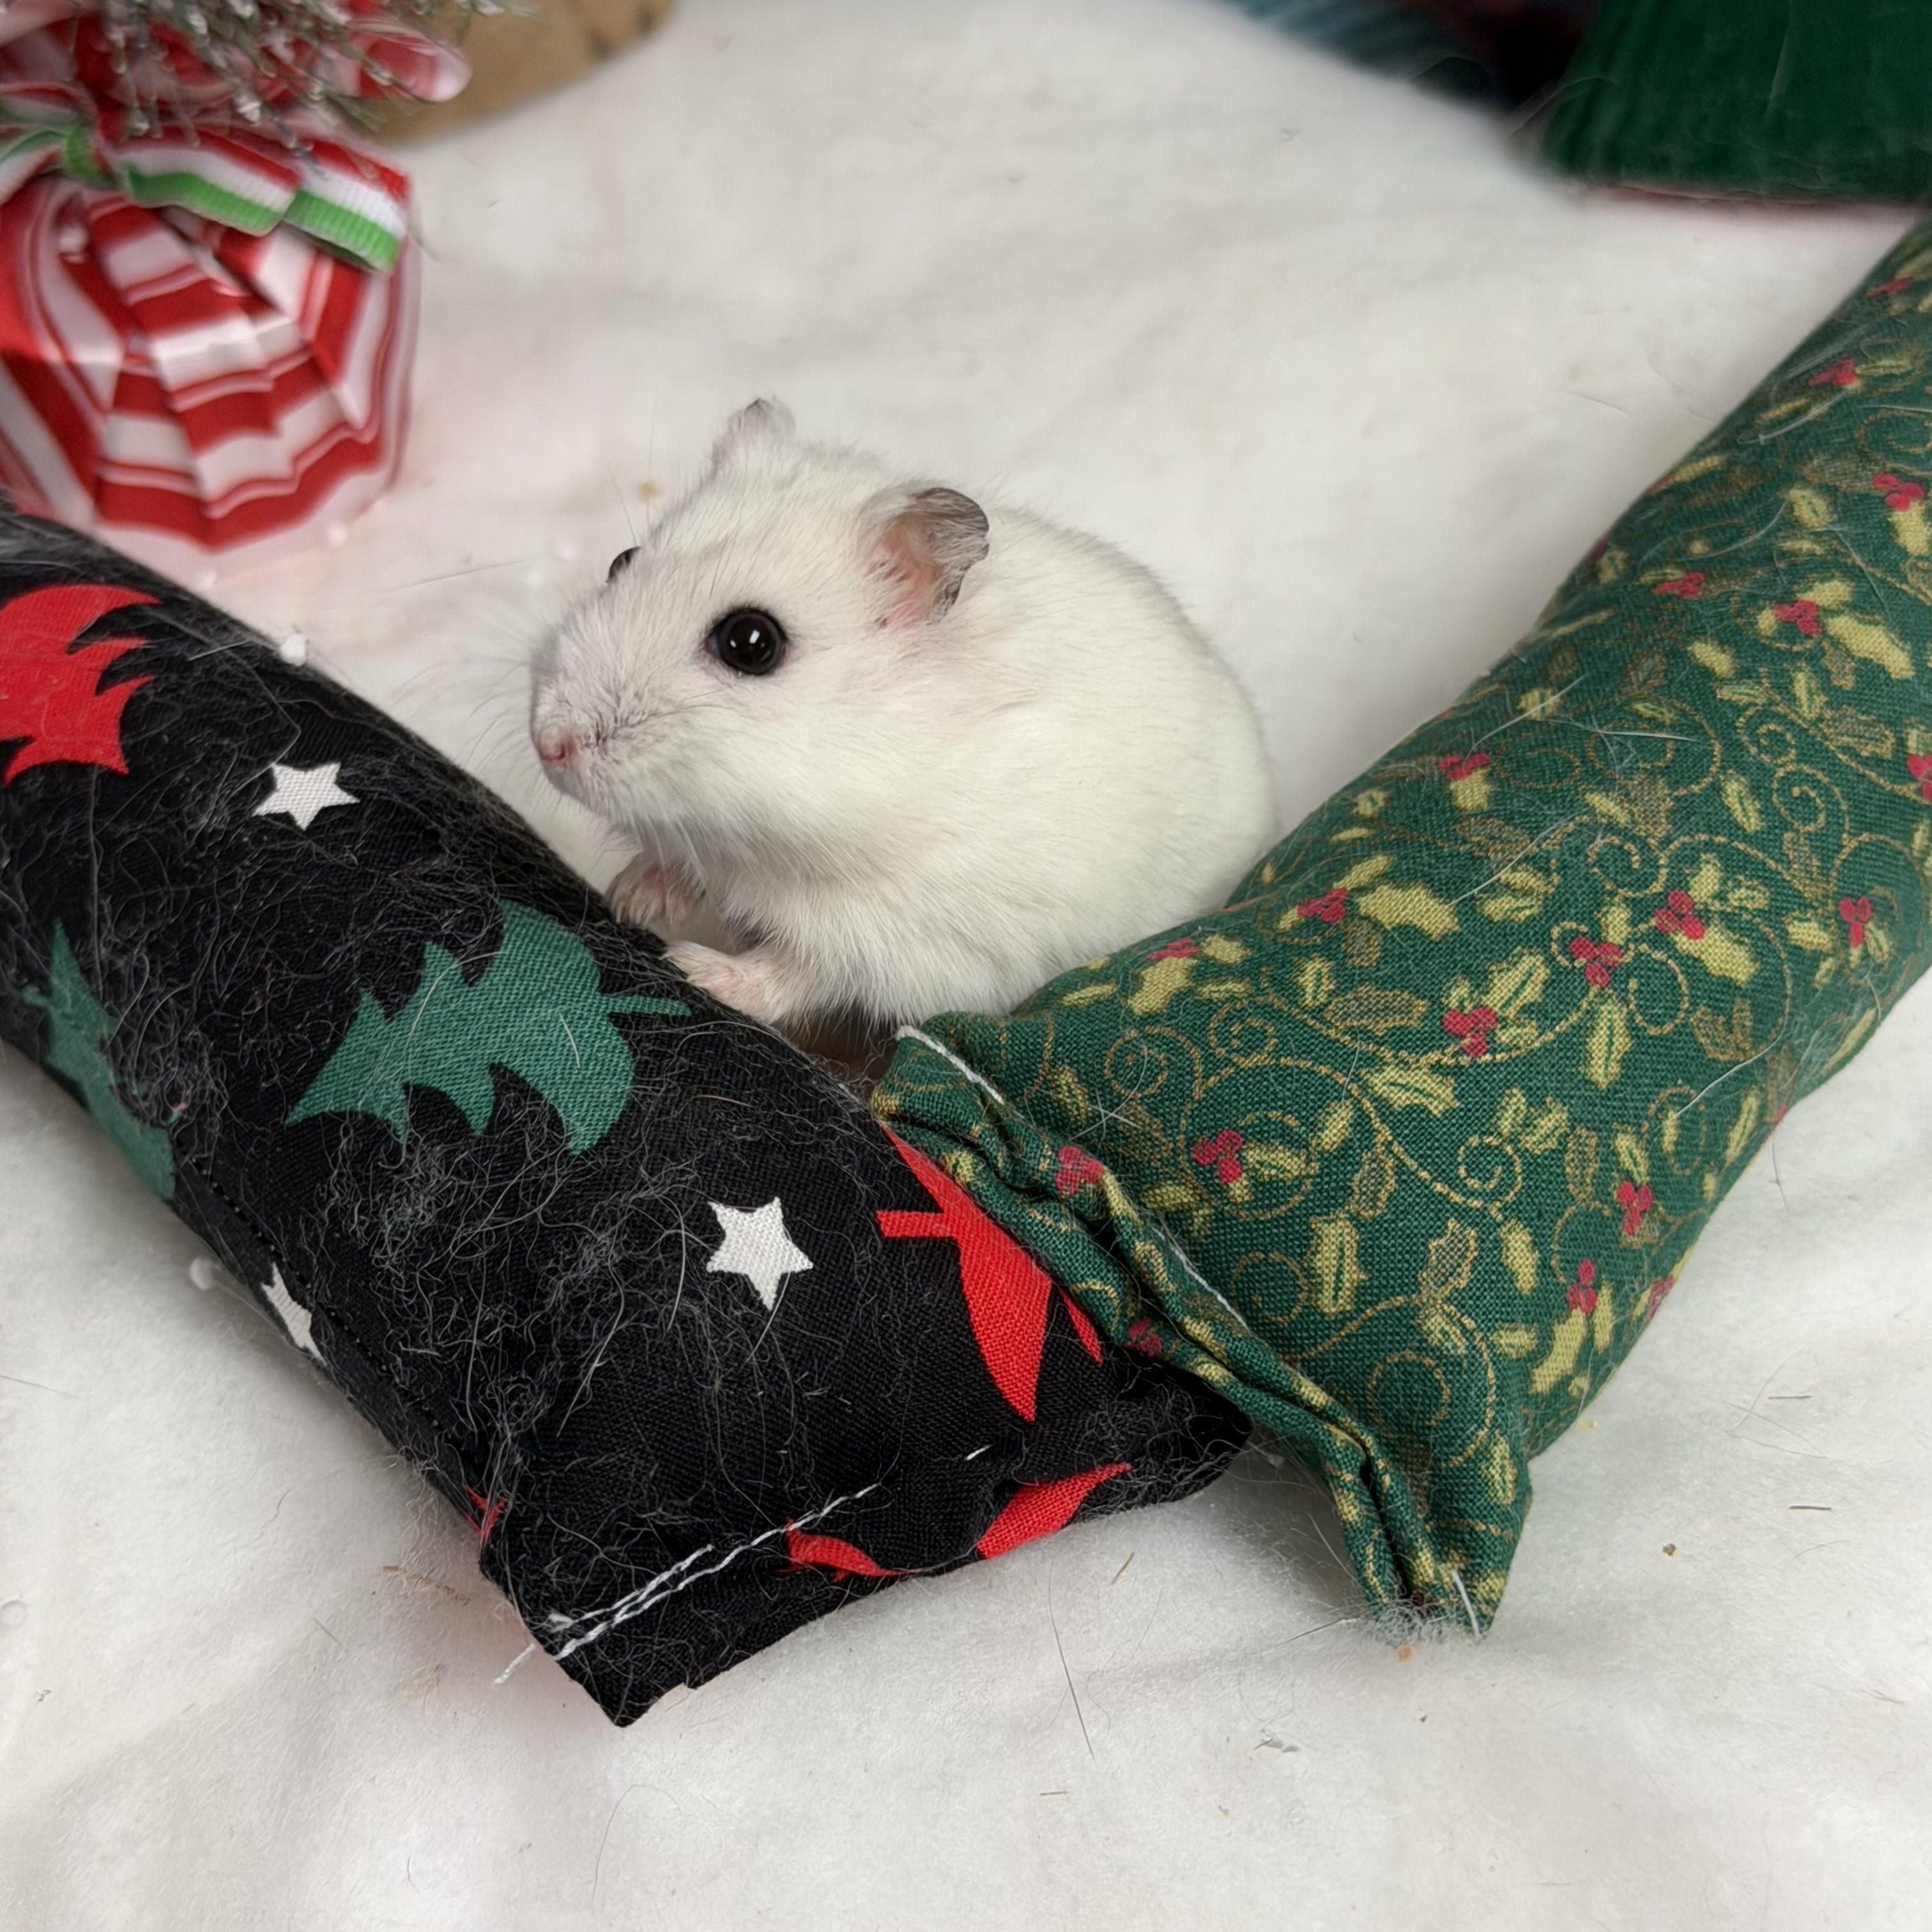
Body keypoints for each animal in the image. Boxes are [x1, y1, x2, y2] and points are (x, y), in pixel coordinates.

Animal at [530, 400, 1277, 1032]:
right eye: (620, 560)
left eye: (751, 642)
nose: (548, 745)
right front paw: (630, 896)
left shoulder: (892, 941)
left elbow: (793, 974)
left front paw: (691, 968)